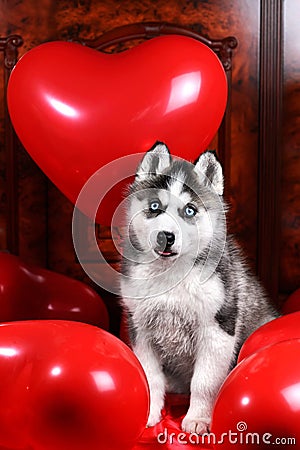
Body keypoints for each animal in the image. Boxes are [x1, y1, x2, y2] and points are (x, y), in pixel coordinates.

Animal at [119, 142, 276, 434]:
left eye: (190, 210)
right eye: (155, 206)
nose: (166, 236)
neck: (171, 275)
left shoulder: (218, 327)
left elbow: (204, 381)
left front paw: (199, 418)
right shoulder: (141, 328)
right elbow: (150, 376)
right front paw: (149, 412)